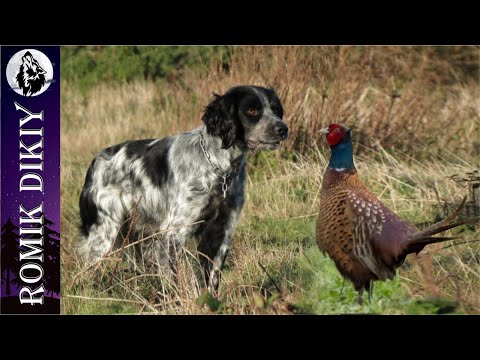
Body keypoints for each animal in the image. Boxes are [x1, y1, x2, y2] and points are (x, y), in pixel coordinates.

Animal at [78, 86, 288, 294]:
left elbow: (212, 278)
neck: (219, 166)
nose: (282, 128)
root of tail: (96, 161)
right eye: (251, 110)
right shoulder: (173, 233)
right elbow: (173, 279)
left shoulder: (221, 231)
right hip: (104, 234)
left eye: (276, 109)